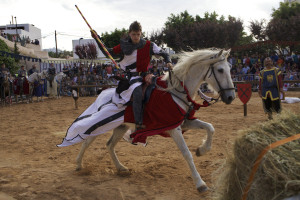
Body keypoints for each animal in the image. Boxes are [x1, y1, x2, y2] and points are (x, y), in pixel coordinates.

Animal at [67, 48, 236, 192]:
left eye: (229, 69)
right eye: (220, 70)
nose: (230, 97)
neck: (175, 91)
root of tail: (102, 94)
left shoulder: (185, 122)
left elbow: (210, 127)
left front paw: (202, 150)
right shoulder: (174, 129)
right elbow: (187, 153)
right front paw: (200, 184)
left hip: (121, 127)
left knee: (109, 145)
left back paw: (121, 168)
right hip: (100, 125)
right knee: (86, 140)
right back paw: (78, 164)